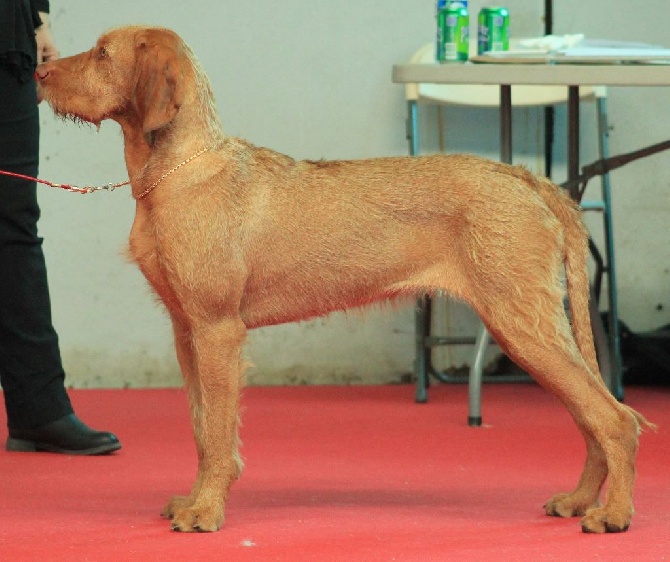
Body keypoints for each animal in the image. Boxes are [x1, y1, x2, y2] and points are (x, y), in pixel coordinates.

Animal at [35, 26, 652, 532]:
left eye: (102, 52)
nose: (37, 72)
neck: (178, 171)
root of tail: (527, 178)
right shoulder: (187, 333)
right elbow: (200, 426)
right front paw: (193, 499)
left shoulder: (217, 331)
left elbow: (218, 432)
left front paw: (206, 511)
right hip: (531, 332)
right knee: (592, 418)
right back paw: (579, 501)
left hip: (523, 324)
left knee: (617, 419)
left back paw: (613, 514)